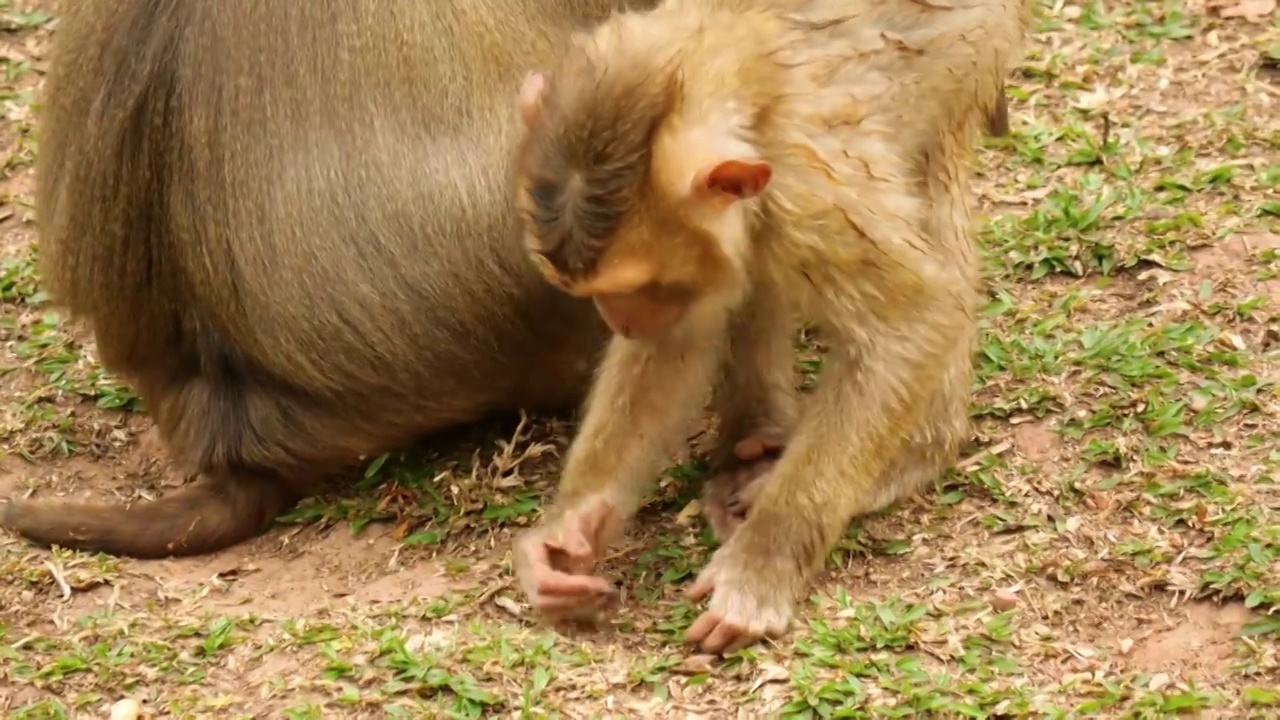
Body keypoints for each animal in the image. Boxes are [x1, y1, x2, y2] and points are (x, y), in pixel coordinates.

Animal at [509, 0, 1029, 650]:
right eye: (597, 293)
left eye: (637, 287)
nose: (621, 321)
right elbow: (676, 341)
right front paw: (573, 526)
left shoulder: (810, 196)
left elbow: (914, 319)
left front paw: (763, 565)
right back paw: (750, 445)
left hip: (974, 57)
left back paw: (911, 455)